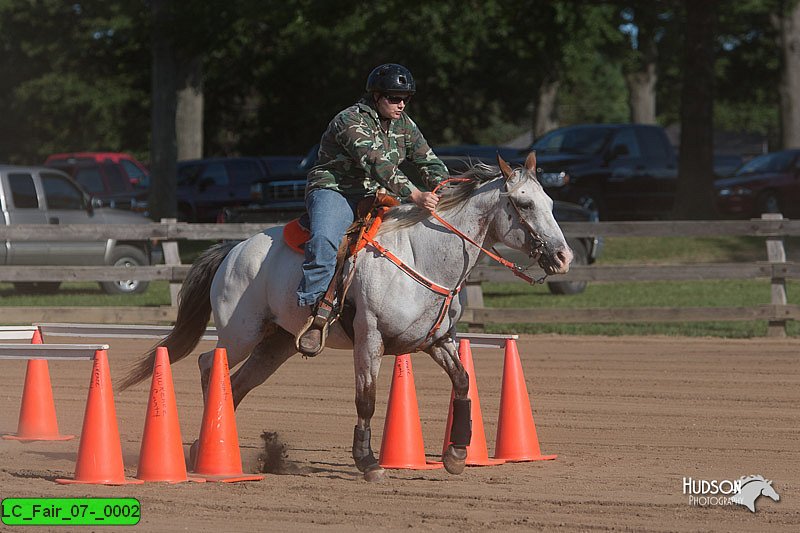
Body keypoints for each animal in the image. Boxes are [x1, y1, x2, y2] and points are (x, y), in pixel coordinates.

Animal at [119, 152, 572, 480]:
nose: (564, 257)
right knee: (209, 363)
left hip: (276, 344)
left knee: (240, 381)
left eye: (551, 202)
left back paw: (210, 446)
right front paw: (368, 462)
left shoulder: (437, 341)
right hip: (240, 333)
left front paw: (458, 453)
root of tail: (232, 249)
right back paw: (205, 444)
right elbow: (366, 399)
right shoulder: (369, 337)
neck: (421, 255)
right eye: (524, 202)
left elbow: (462, 383)